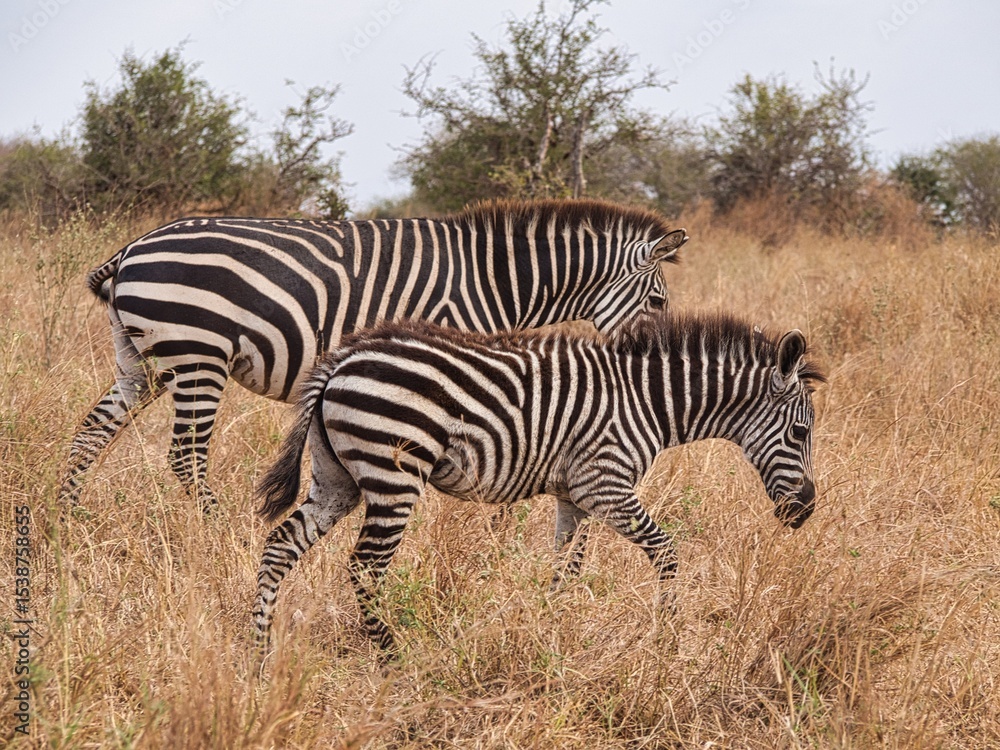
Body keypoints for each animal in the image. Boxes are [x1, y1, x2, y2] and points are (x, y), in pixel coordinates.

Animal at [60, 200, 687, 509]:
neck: (490, 280)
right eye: (657, 300)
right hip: (198, 357)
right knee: (186, 456)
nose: (656, 359)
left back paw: (68, 518)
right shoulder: (442, 356)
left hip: (142, 360)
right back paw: (216, 531)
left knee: (92, 431)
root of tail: (132, 247)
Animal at [253, 310, 824, 655]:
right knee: (365, 569)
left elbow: (565, 569)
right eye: (800, 432)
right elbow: (666, 551)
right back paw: (392, 657)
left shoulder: (575, 496)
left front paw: (548, 633)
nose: (806, 511)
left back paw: (259, 653)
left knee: (281, 546)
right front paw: (668, 638)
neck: (646, 402)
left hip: (338, 479)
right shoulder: (605, 485)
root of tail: (340, 359)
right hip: (393, 475)